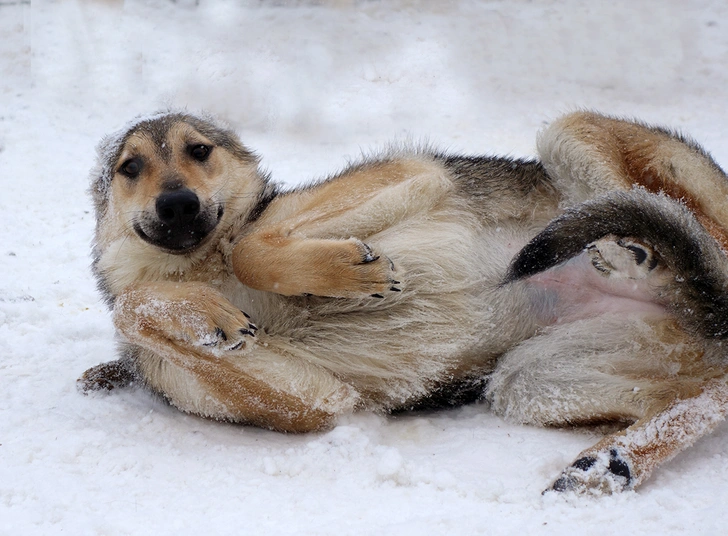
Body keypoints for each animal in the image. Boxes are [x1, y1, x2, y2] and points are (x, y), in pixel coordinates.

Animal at [77, 111, 728, 496]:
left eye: (199, 151)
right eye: (130, 167)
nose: (178, 203)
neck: (199, 268)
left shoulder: (413, 172)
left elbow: (251, 249)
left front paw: (350, 272)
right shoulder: (319, 399)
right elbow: (130, 304)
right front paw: (203, 316)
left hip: (567, 132)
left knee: (702, 252)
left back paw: (631, 252)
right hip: (529, 382)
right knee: (711, 385)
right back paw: (613, 458)